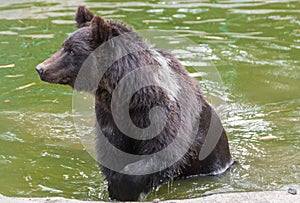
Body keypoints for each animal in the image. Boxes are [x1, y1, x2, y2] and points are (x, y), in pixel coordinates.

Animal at [35, 5, 232, 201]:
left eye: (72, 50)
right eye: (63, 46)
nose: (41, 68)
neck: (128, 93)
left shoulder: (161, 111)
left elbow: (162, 152)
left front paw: (122, 186)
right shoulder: (109, 114)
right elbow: (112, 149)